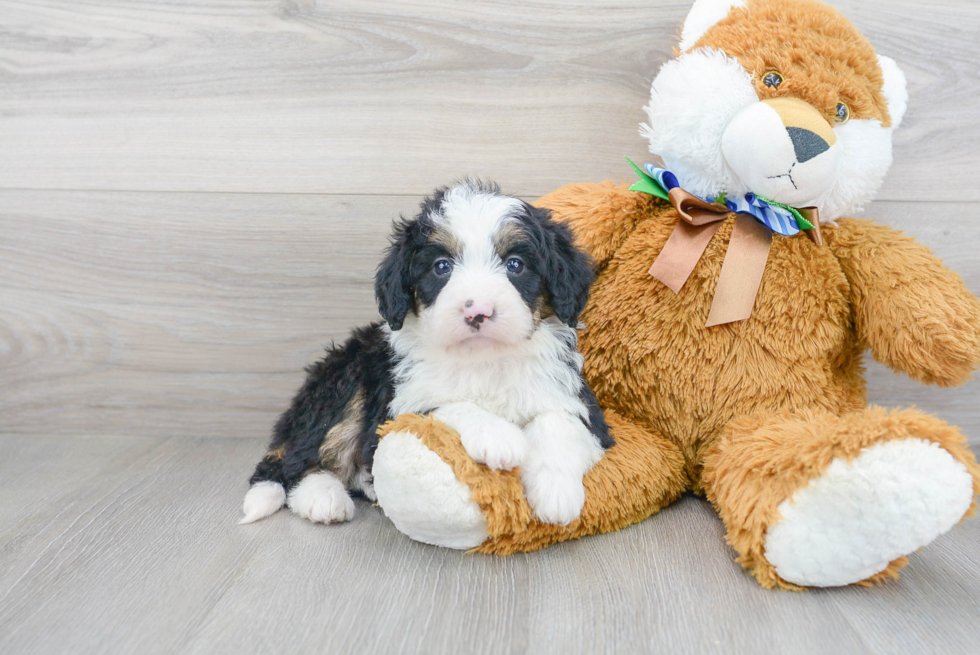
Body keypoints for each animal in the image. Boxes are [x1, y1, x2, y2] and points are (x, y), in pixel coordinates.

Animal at [243, 179, 612, 528]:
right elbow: (445, 405)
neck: (482, 360)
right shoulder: (397, 407)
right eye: (442, 266)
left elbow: (559, 421)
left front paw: (556, 493)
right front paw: (498, 436)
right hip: (346, 379)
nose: (477, 311)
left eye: (515, 265)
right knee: (301, 462)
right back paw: (323, 497)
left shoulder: (579, 402)